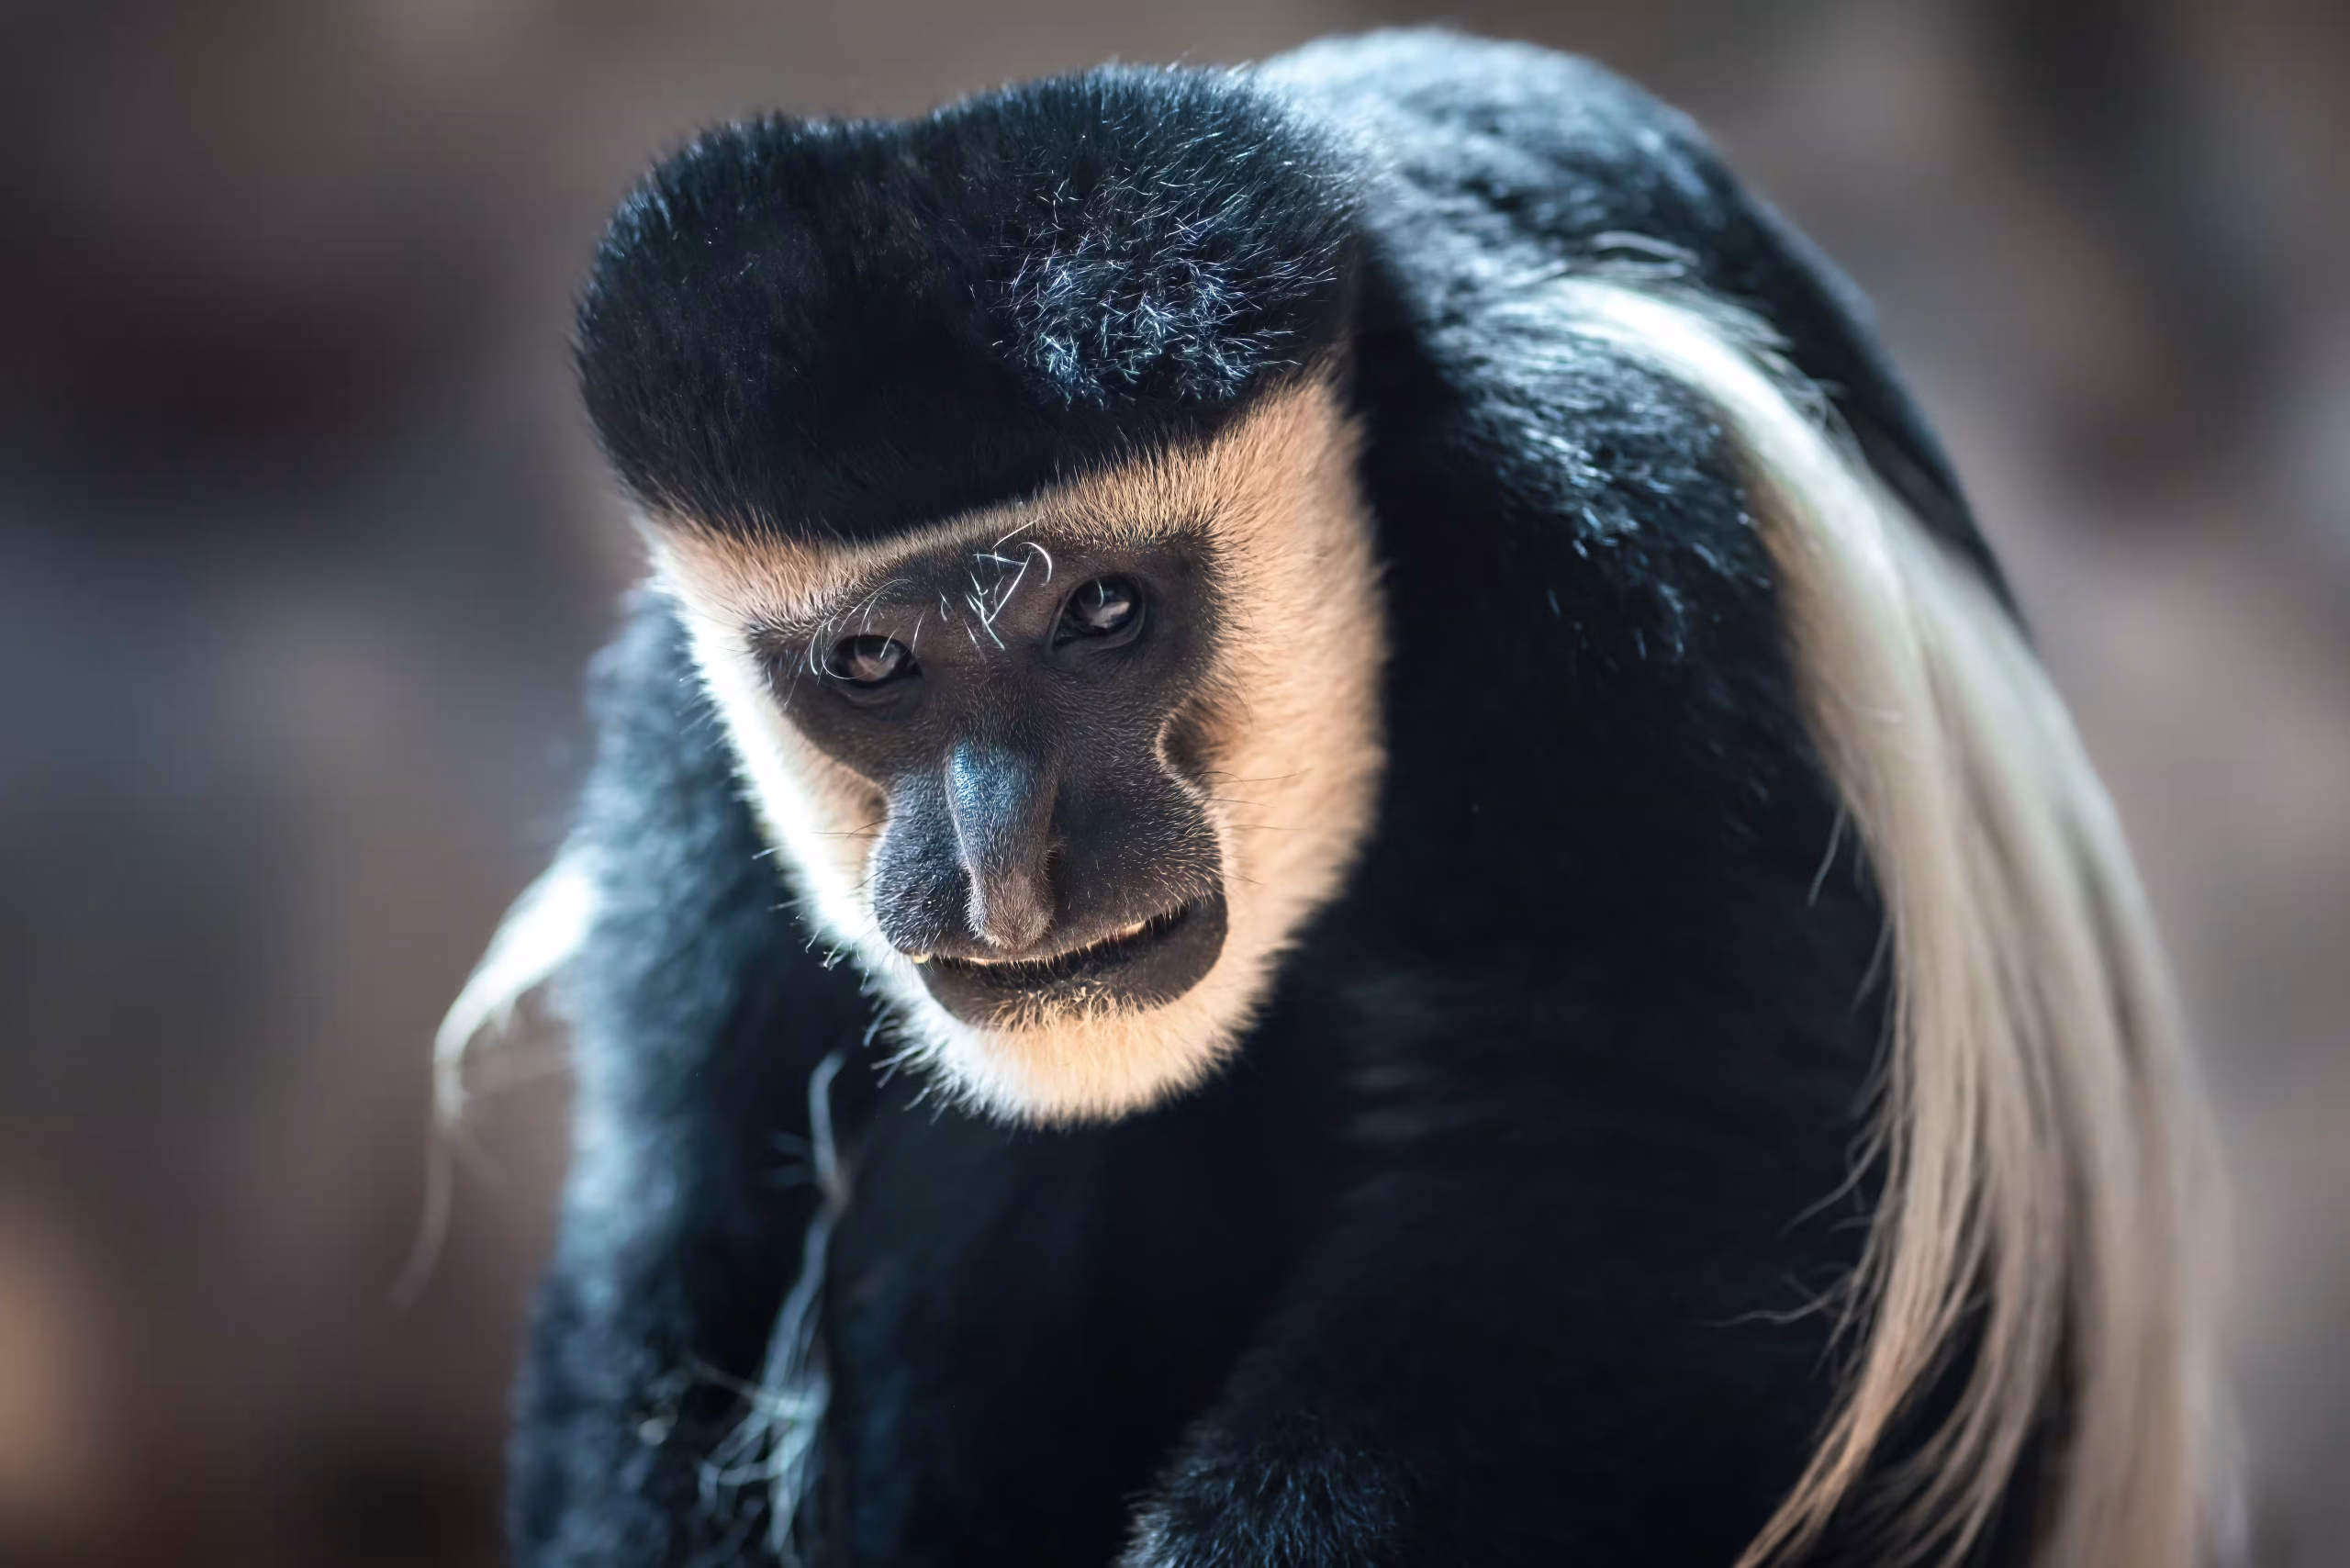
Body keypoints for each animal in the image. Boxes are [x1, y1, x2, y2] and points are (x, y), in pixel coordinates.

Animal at [443, 28, 2223, 1568]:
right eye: (873, 661)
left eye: (1105, 613)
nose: (1007, 871)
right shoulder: (682, 739)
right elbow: (682, 1235)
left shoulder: (1613, 536)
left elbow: (1621, 1170)